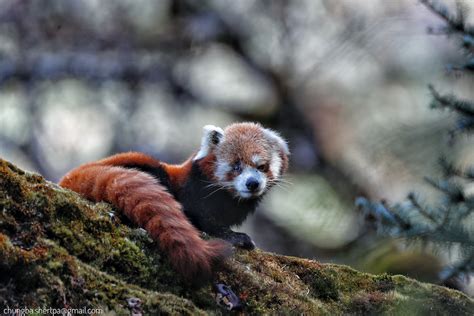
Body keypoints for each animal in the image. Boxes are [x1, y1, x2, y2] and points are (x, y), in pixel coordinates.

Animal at [59, 122, 288, 282]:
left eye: (262, 166)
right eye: (237, 166)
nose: (252, 183)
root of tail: (72, 175)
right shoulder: (194, 195)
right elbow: (205, 221)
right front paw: (236, 237)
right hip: (141, 165)